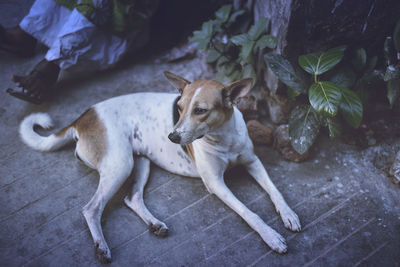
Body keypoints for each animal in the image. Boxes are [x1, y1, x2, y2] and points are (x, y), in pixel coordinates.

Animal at [18, 71, 300, 264]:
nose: (172, 137)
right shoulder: (216, 184)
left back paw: (154, 224)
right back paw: (101, 247)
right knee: (91, 209)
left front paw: (288, 215)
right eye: (179, 107)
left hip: (140, 163)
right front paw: (271, 236)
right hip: (120, 164)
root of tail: (81, 118)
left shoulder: (253, 162)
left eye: (201, 110)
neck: (224, 136)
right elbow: (248, 212)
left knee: (132, 198)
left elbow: (275, 191)